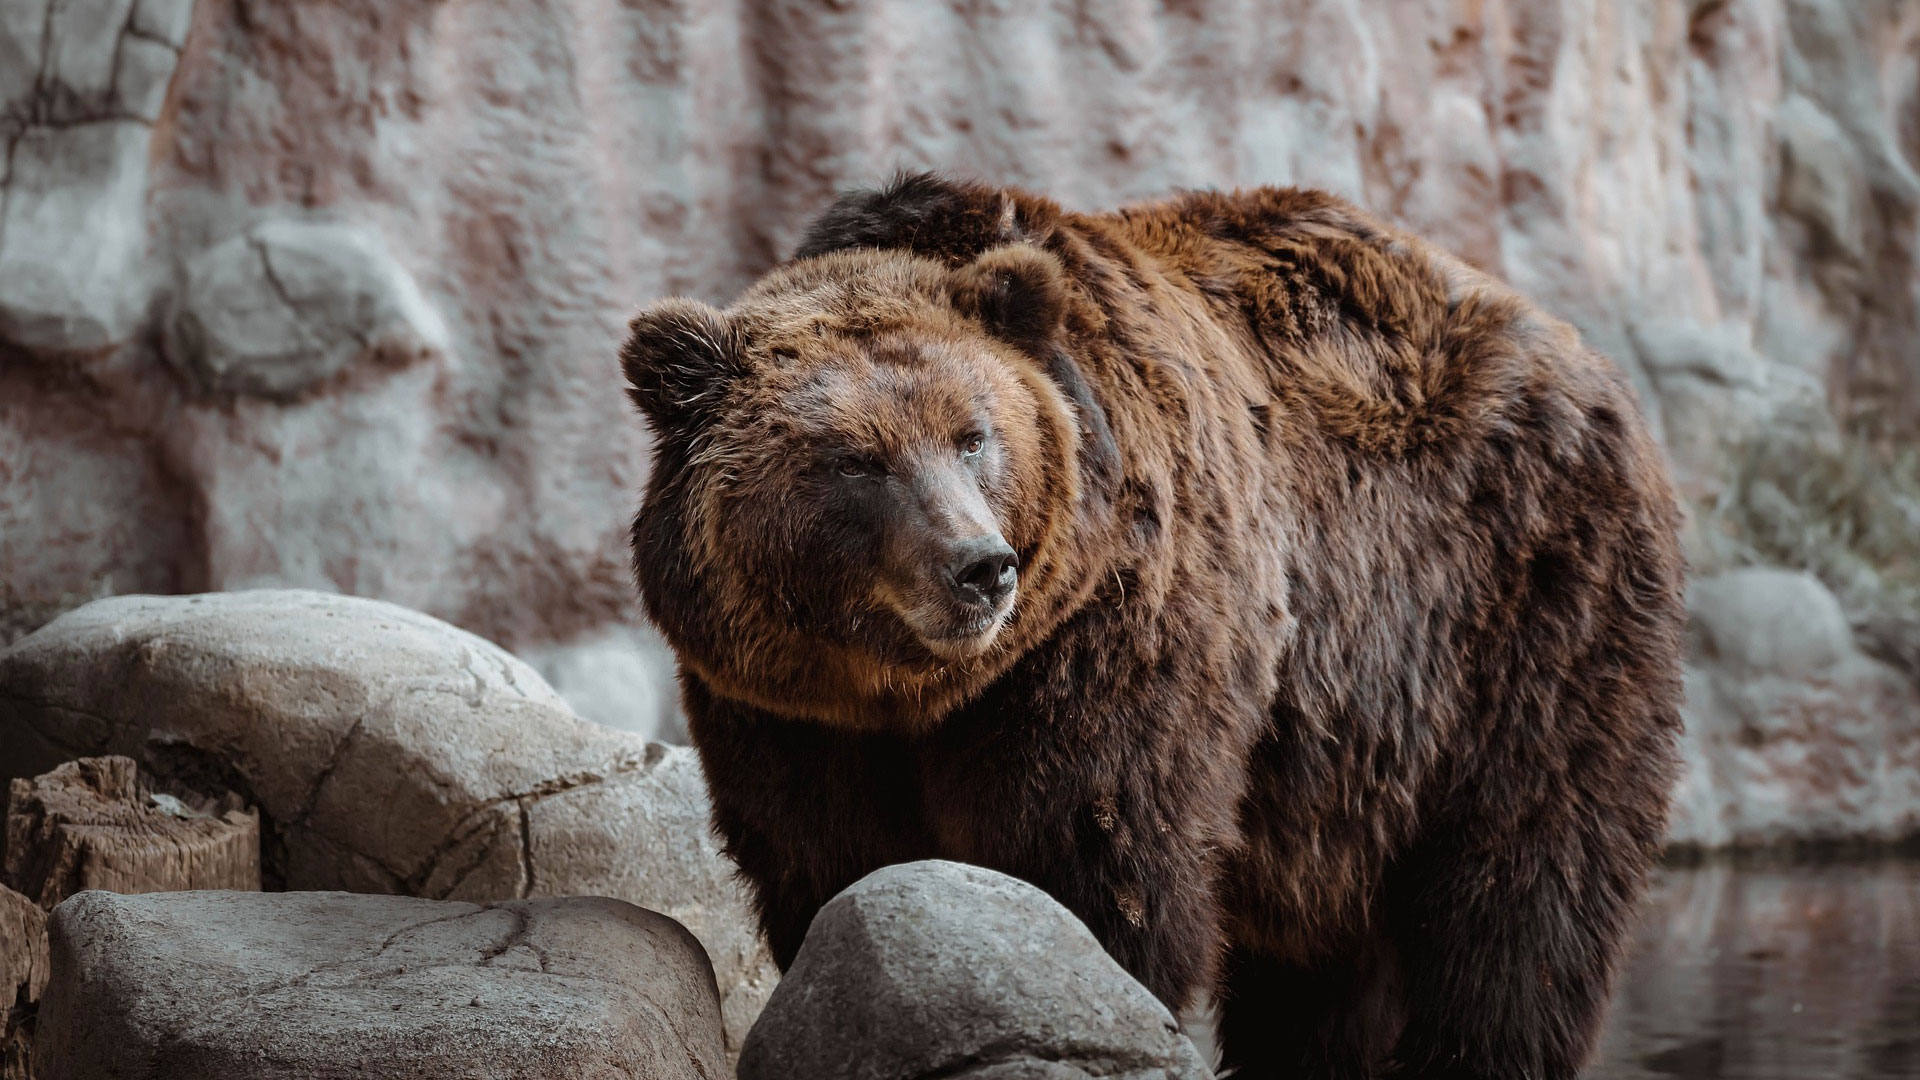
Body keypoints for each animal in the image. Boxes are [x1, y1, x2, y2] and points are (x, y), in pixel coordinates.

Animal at [618, 174, 1681, 1076]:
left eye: (974, 436)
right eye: (855, 460)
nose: (980, 567)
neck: (911, 690)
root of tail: (1587, 359)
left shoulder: (1112, 635)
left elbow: (1097, 856)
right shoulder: (787, 713)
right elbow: (824, 864)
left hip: (1520, 617)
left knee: (1521, 896)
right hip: (1350, 769)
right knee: (1327, 964)